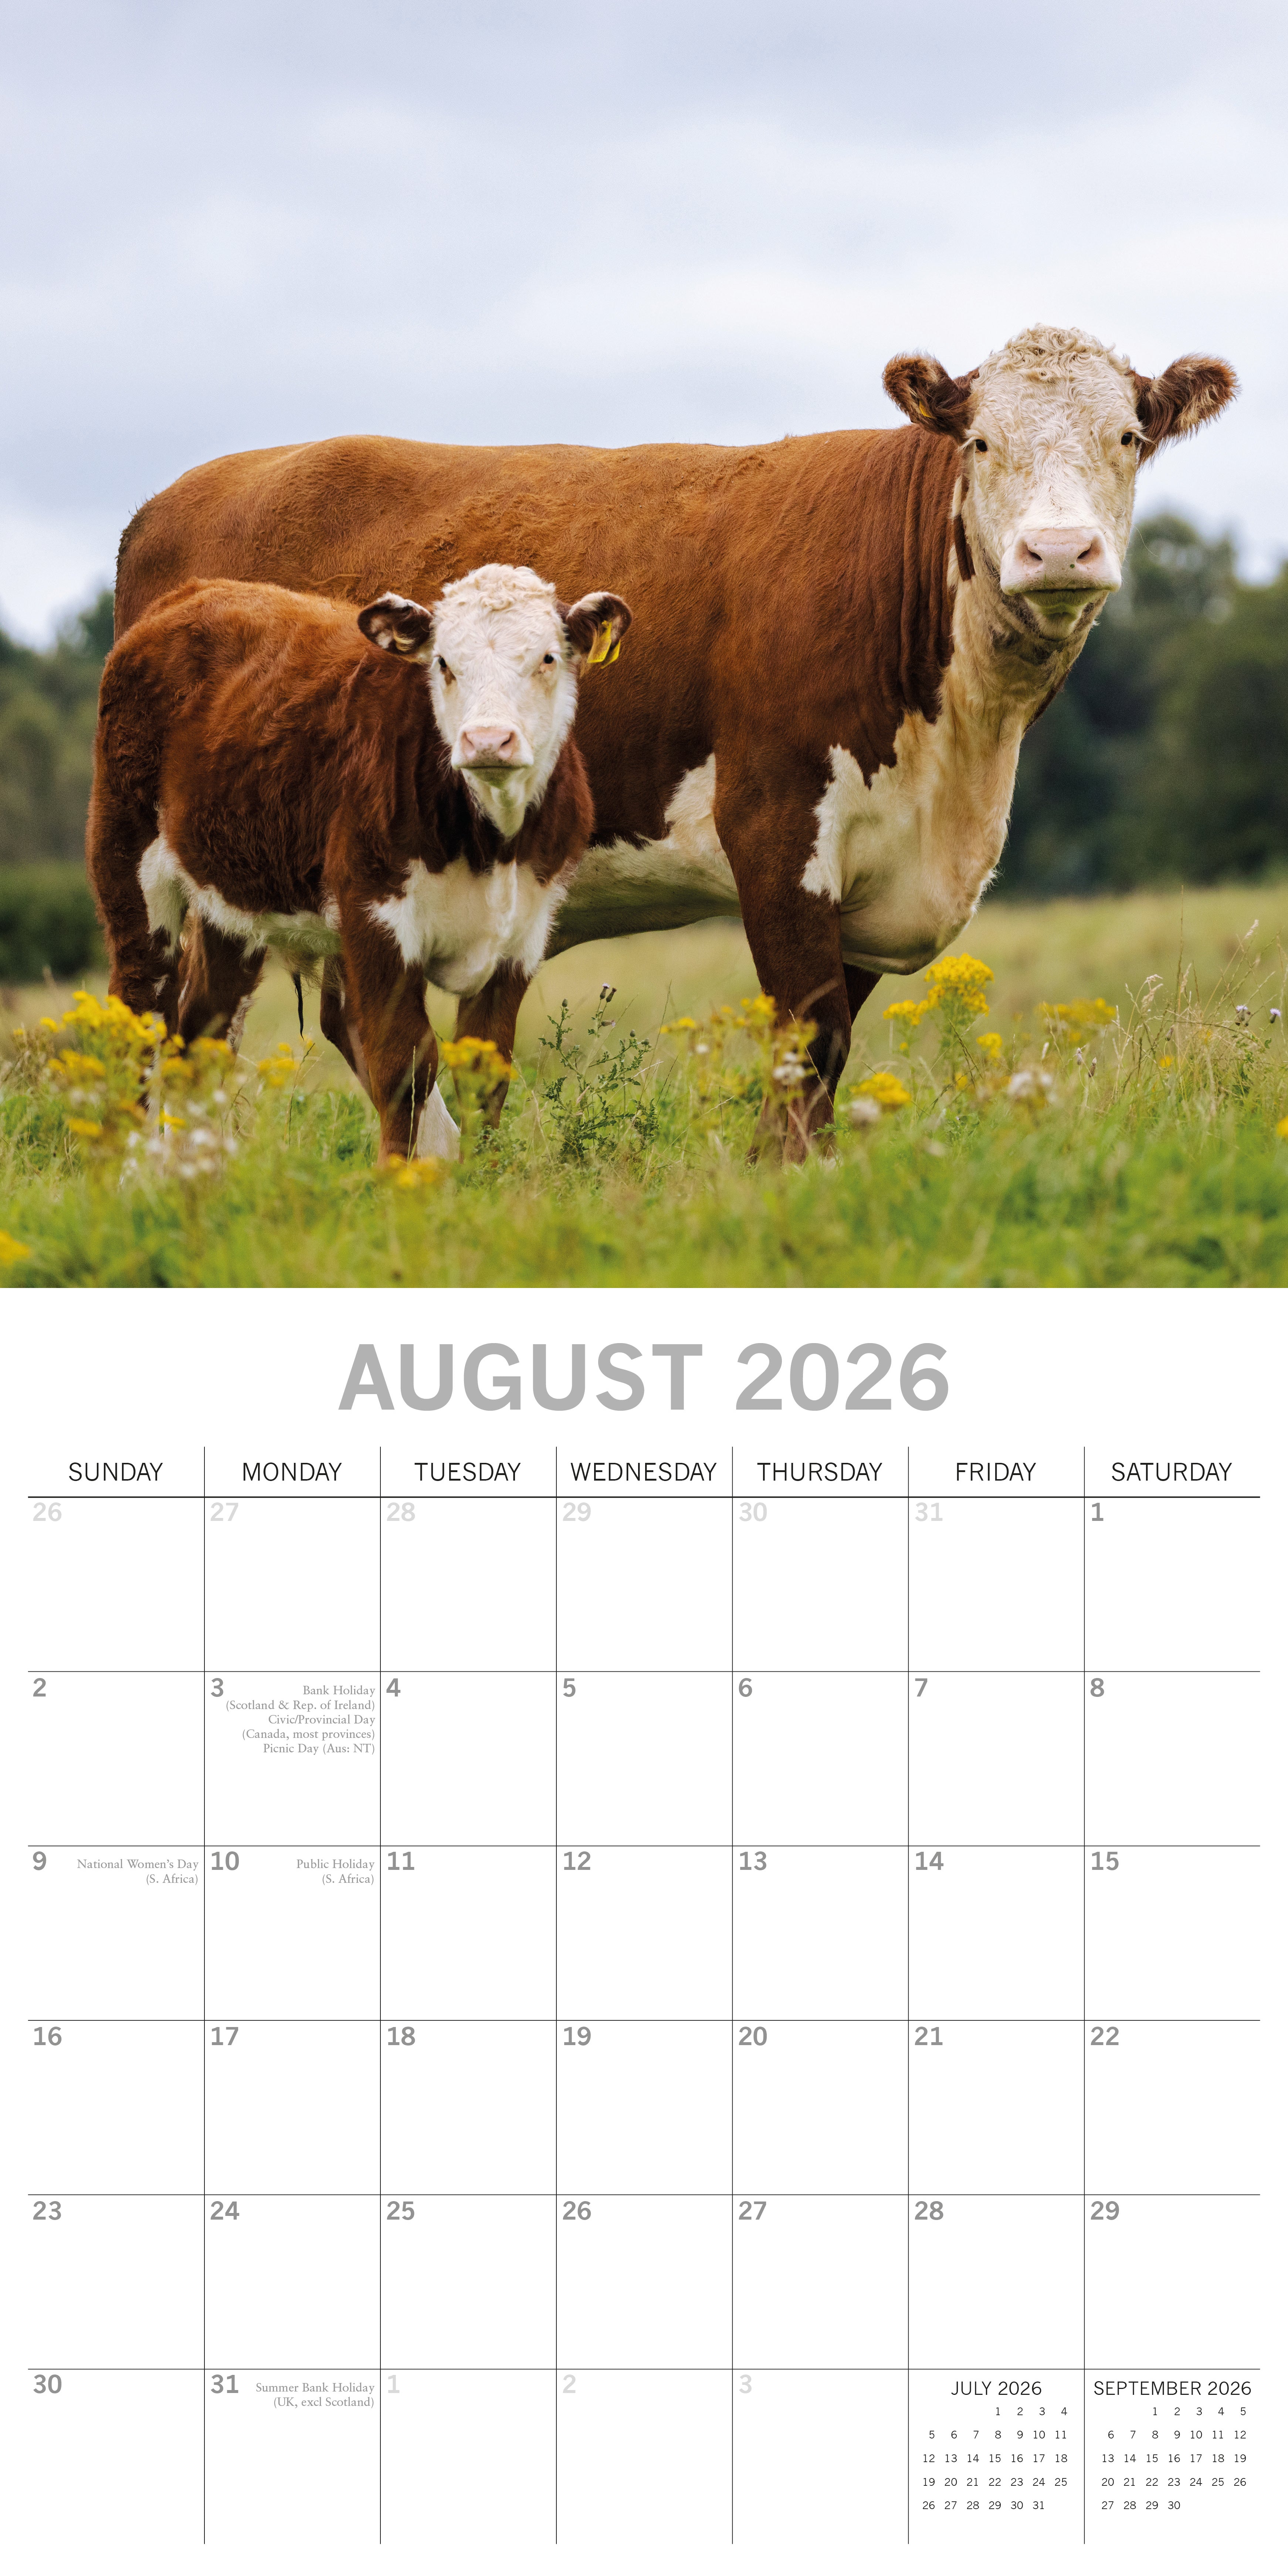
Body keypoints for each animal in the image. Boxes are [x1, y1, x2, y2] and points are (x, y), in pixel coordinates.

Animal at [85, 565, 631, 1161]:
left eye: (547, 658)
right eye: (444, 663)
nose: (488, 740)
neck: (491, 842)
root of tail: (197, 591)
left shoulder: (522, 936)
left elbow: (485, 1075)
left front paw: (479, 1176)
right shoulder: (375, 916)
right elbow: (404, 1066)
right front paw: (399, 1177)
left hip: (230, 899)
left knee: (202, 1032)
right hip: (129, 864)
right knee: (135, 1016)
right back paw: (122, 1170)